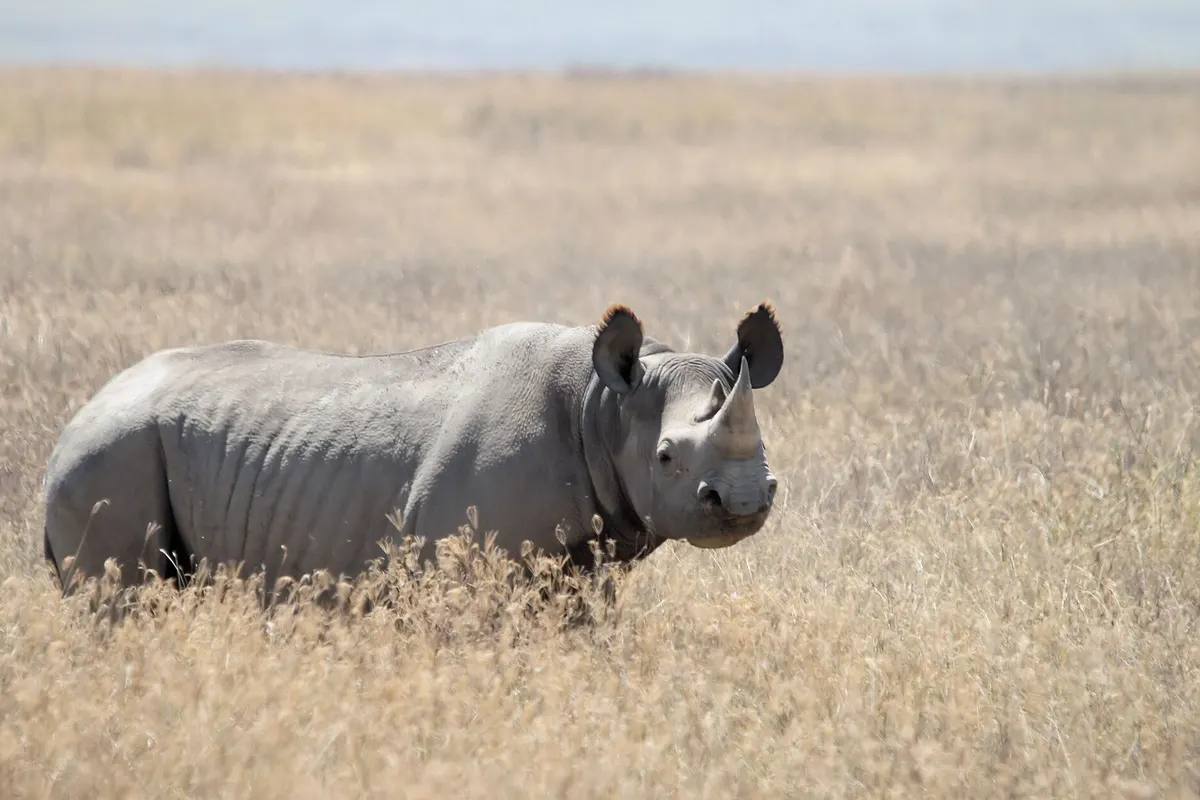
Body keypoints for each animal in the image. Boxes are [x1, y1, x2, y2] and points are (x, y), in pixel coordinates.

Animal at [42, 302, 784, 595]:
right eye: (665, 457)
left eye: (770, 462)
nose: (745, 500)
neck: (603, 409)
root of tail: (76, 418)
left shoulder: (583, 567)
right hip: (110, 452)